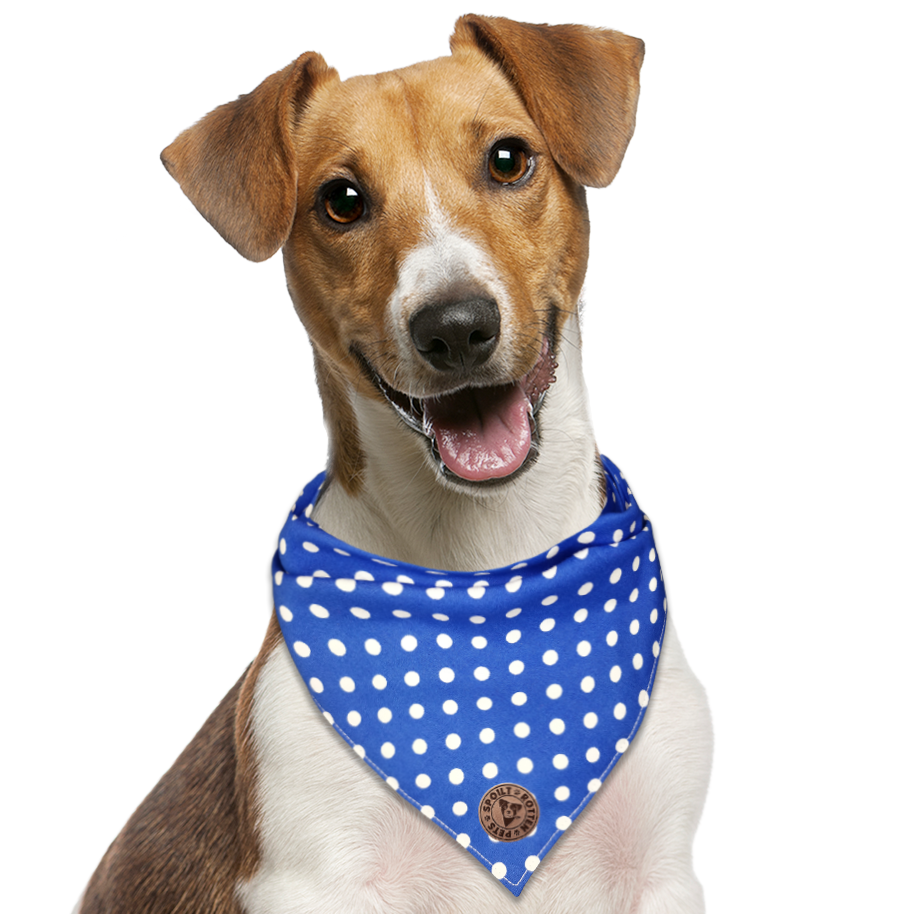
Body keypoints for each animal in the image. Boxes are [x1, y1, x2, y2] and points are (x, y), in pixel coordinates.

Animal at [78, 14, 708, 912]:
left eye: (509, 159)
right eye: (341, 201)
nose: (455, 326)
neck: (486, 576)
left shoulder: (657, 870)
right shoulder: (312, 875)